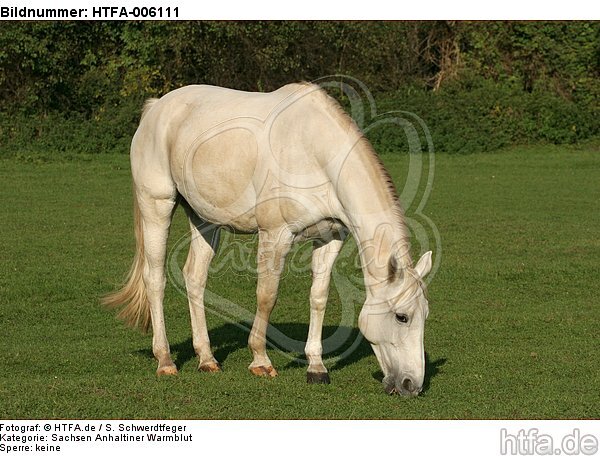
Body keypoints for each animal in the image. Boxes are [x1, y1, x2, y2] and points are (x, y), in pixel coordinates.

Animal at [103, 82, 432, 396]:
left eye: (425, 315)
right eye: (402, 317)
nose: (411, 385)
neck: (314, 152)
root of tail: (156, 107)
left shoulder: (331, 238)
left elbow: (319, 298)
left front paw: (316, 366)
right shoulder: (275, 235)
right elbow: (267, 295)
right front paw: (260, 360)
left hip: (204, 219)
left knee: (194, 278)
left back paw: (206, 359)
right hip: (157, 206)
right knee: (155, 280)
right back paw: (165, 360)